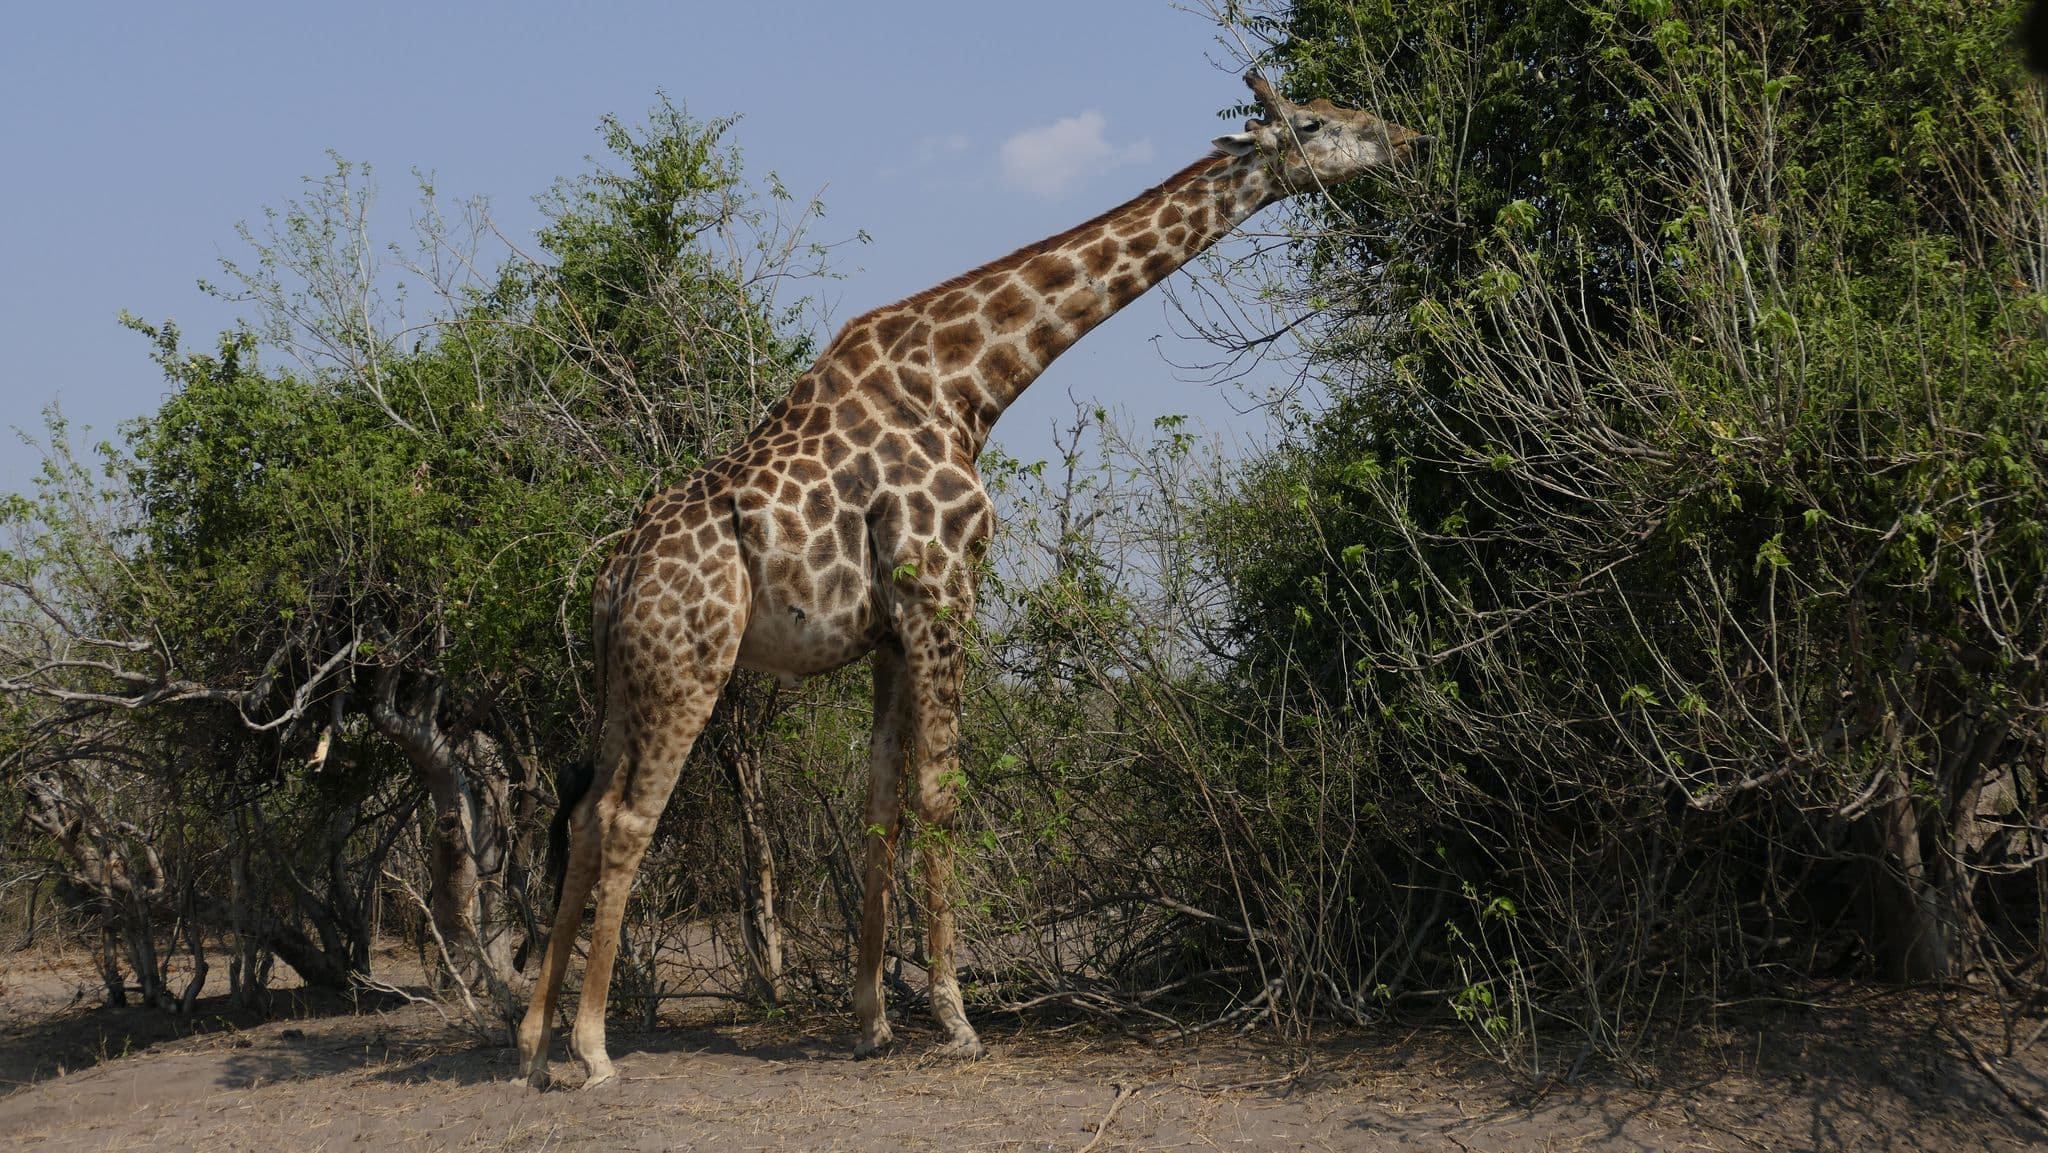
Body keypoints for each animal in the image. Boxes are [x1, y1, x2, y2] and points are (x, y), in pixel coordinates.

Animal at [516, 72, 1424, 1090]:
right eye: (1313, 123)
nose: (1406, 138)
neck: (968, 384)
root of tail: (616, 572)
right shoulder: (944, 588)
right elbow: (943, 794)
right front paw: (954, 1017)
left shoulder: (885, 627)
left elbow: (880, 807)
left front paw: (871, 1021)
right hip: (691, 663)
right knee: (629, 816)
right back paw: (593, 1047)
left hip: (625, 675)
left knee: (584, 810)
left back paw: (532, 1042)